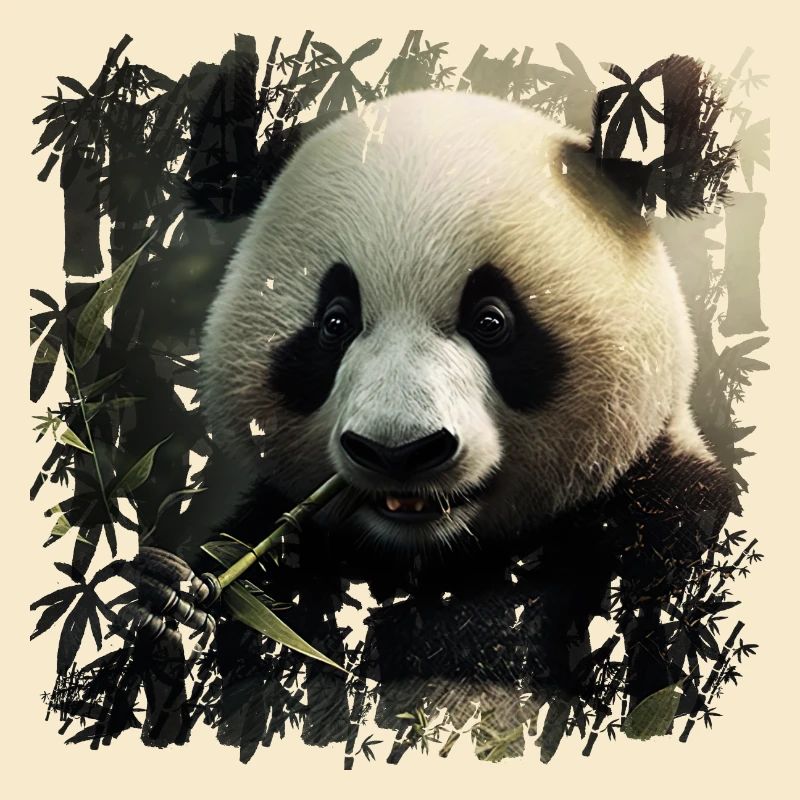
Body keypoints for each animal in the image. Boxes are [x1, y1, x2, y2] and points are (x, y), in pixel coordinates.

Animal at [134, 90, 735, 742]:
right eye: (335, 321)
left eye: (492, 320)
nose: (398, 451)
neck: (438, 561)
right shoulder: (289, 558)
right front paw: (173, 603)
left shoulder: (657, 526)